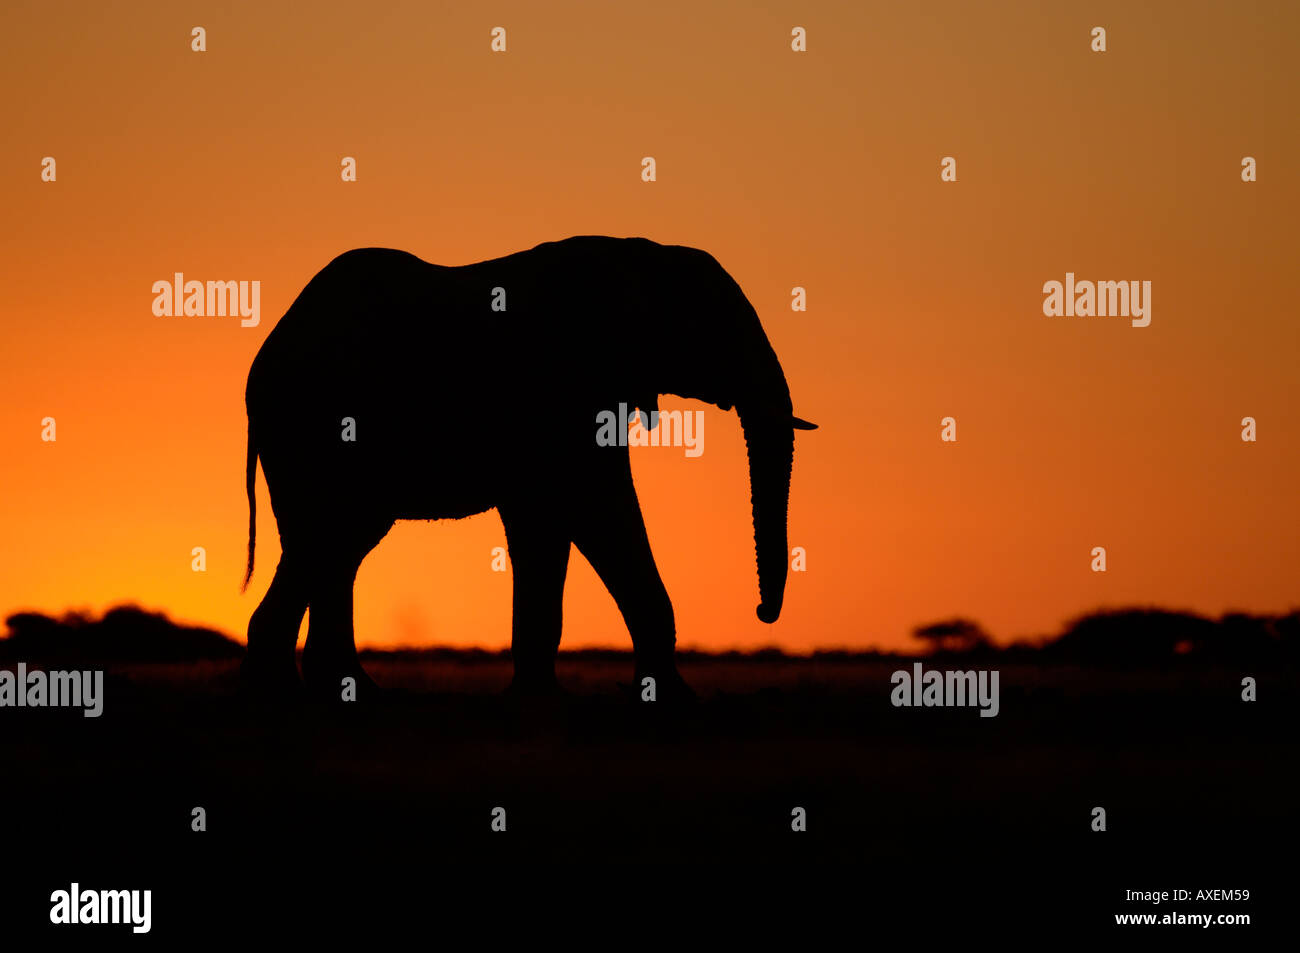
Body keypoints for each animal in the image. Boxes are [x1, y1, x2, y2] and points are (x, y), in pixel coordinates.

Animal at [239, 236, 816, 700]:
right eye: (716, 327)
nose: (764, 614)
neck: (640, 254)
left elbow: (551, 525)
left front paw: (544, 696)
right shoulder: (562, 393)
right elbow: (599, 509)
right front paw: (667, 700)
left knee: (331, 546)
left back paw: (341, 691)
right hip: (315, 428)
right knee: (326, 541)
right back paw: (287, 693)